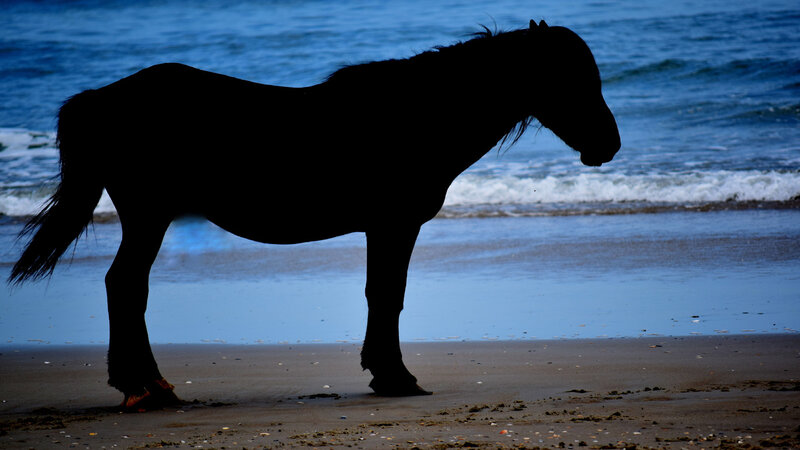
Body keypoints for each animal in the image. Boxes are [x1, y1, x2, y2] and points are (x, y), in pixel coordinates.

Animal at [9, 20, 620, 410]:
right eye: (571, 77)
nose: (608, 145)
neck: (417, 116)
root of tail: (101, 99)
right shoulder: (393, 224)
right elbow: (387, 294)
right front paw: (395, 376)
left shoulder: (387, 227)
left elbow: (383, 294)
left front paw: (385, 373)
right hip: (148, 217)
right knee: (125, 286)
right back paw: (145, 386)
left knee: (126, 287)